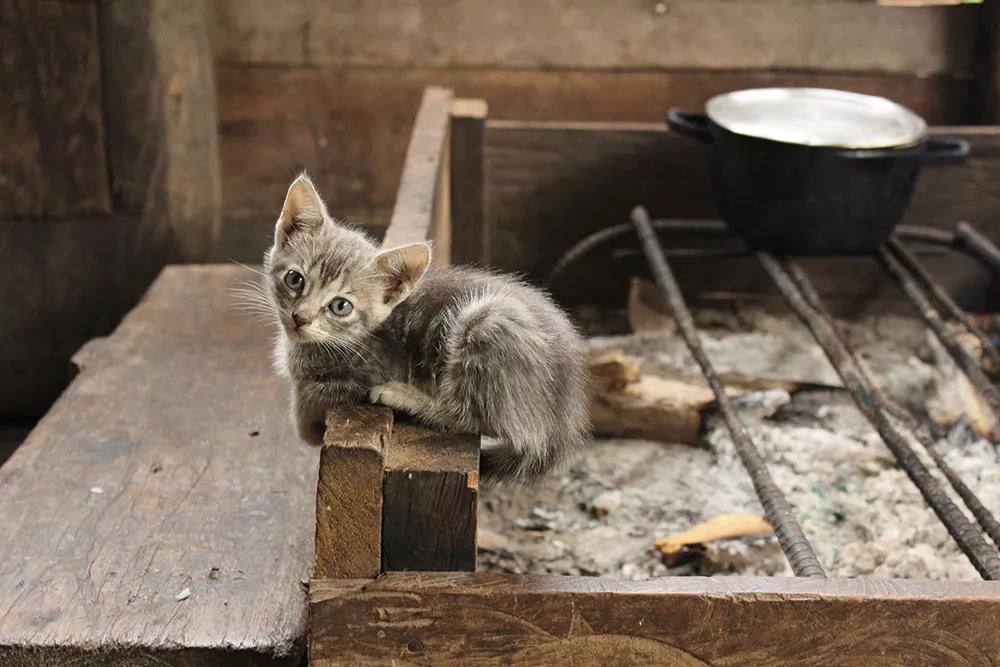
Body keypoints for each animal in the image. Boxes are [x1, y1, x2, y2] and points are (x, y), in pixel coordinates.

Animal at [266, 175, 588, 482]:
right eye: (295, 279)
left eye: (340, 306)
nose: (300, 318)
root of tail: (564, 417)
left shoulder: (373, 370)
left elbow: (312, 398)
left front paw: (306, 420)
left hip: (487, 321)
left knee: (476, 419)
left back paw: (405, 398)